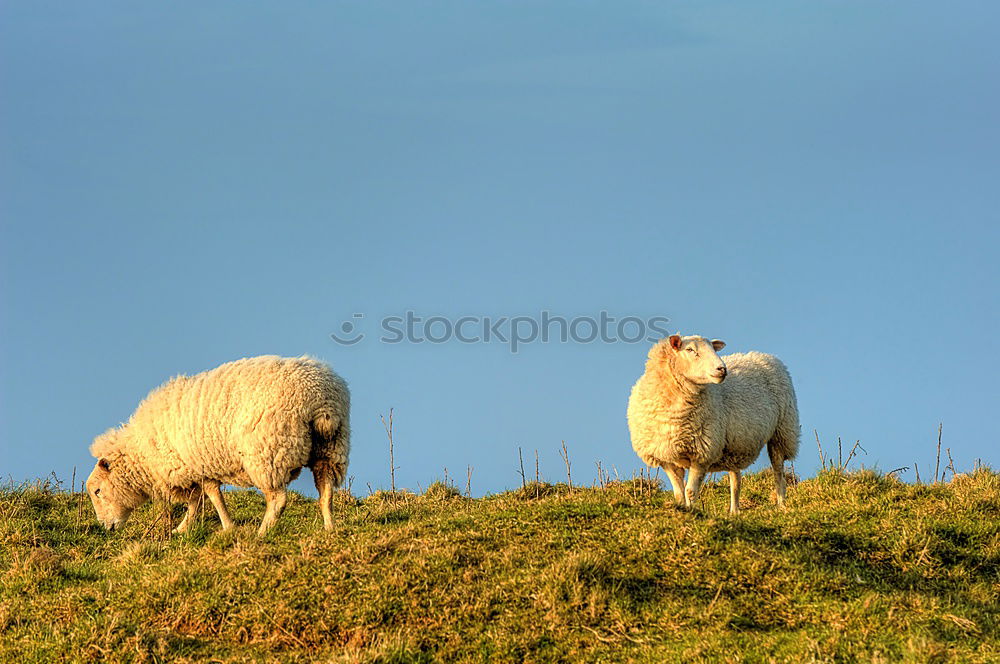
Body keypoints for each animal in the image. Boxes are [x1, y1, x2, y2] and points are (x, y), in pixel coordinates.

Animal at [87, 352, 352, 536]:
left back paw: (262, 533)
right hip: (331, 448)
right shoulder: (194, 468)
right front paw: (183, 528)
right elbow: (197, 501)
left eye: (98, 491)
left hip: (267, 453)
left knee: (278, 499)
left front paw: (227, 526)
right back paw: (329, 527)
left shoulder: (197, 465)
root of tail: (320, 399)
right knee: (326, 490)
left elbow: (211, 496)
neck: (143, 454)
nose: (106, 528)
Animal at [628, 338, 800, 512]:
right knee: (736, 480)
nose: (722, 369)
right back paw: (734, 512)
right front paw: (681, 509)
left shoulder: (702, 453)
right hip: (735, 446)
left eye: (713, 349)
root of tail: (765, 355)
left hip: (783, 431)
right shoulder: (665, 456)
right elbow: (678, 492)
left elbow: (690, 491)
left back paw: (781, 505)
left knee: (778, 472)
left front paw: (693, 511)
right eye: (690, 349)